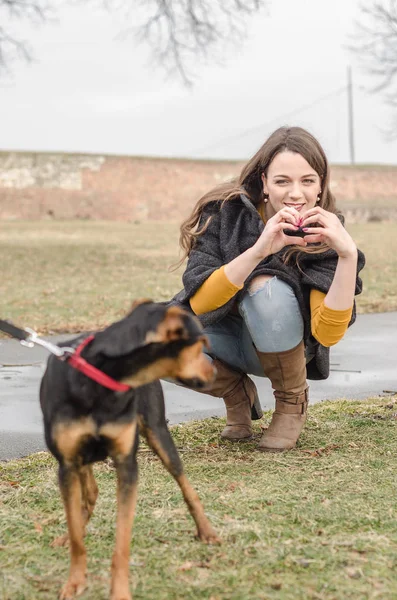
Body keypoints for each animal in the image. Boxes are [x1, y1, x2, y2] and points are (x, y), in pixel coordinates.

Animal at [39, 300, 218, 600]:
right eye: (202, 343)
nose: (215, 372)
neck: (103, 379)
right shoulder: (67, 464)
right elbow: (76, 533)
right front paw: (75, 580)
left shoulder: (126, 464)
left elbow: (122, 541)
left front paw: (120, 591)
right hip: (79, 460)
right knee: (89, 493)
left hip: (157, 432)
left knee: (184, 483)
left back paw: (205, 530)